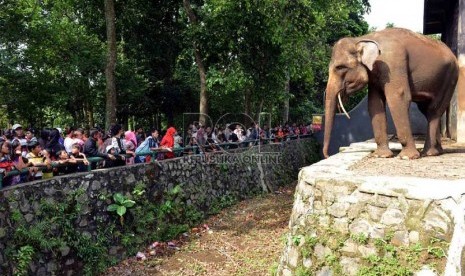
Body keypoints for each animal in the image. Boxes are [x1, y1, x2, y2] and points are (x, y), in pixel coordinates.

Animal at [322, 28, 456, 160]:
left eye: (340, 67)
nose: (327, 156)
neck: (361, 39)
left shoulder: (393, 63)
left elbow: (399, 97)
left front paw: (407, 157)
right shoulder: (375, 75)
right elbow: (375, 103)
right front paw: (381, 155)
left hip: (450, 78)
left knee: (434, 110)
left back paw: (429, 153)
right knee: (427, 111)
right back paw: (437, 152)